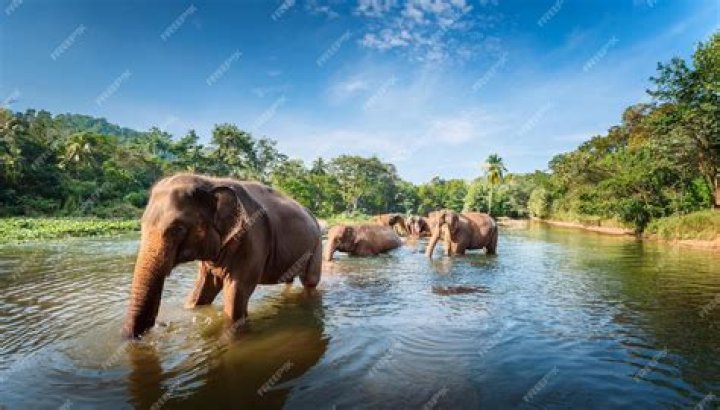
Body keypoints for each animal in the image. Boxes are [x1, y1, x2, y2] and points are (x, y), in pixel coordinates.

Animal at [122, 173, 322, 339]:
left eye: (178, 229)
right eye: (141, 225)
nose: (162, 325)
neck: (211, 182)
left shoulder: (251, 239)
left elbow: (236, 295)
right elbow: (203, 290)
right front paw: (192, 308)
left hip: (316, 244)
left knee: (310, 281)